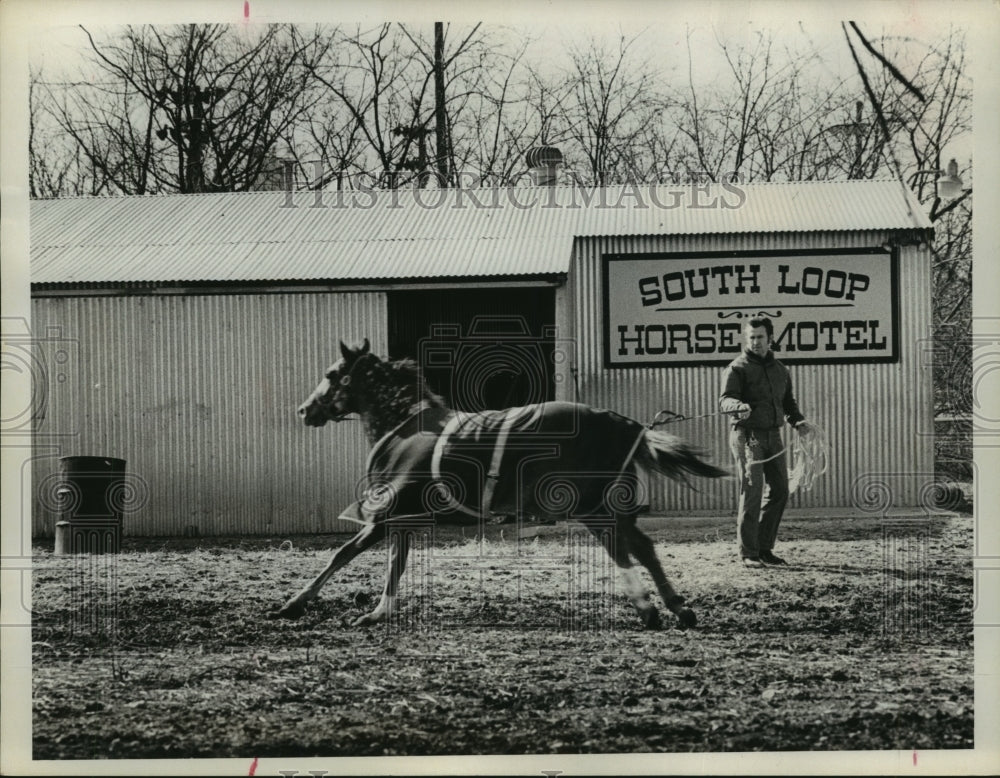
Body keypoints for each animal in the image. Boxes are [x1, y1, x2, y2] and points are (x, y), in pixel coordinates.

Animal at [270, 336, 732, 628]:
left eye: (332, 373)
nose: (304, 409)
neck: (405, 428)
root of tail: (626, 424)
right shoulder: (403, 521)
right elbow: (393, 566)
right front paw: (378, 612)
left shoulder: (387, 516)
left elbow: (342, 554)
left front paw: (294, 603)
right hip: (607, 507)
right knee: (643, 547)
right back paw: (675, 608)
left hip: (593, 507)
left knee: (622, 548)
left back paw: (649, 608)